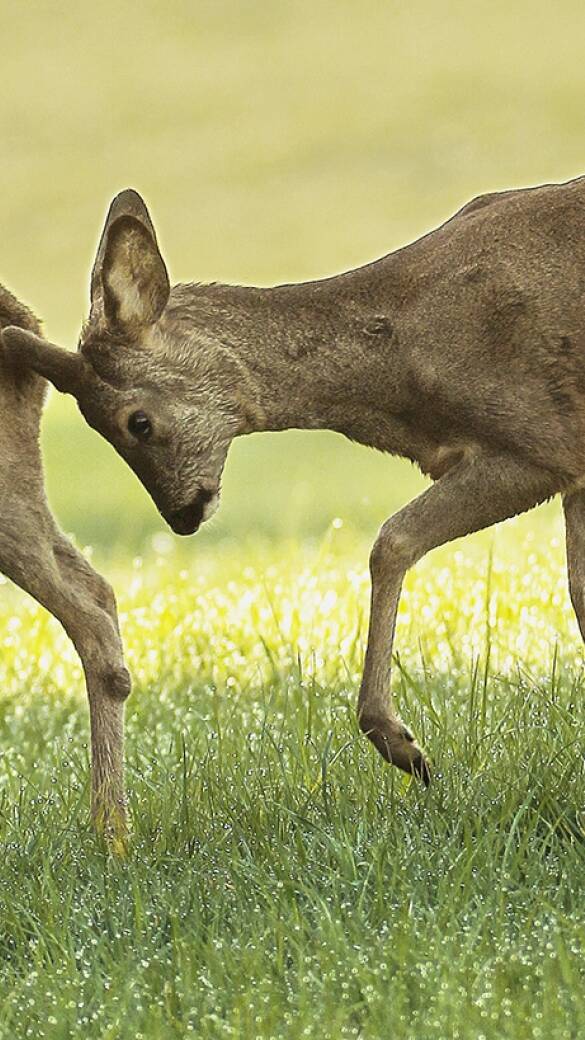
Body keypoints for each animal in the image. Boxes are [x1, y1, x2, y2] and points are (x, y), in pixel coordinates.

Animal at [6, 174, 582, 782]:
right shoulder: (573, 468)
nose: (182, 516)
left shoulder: (540, 441)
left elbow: (392, 541)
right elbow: (578, 589)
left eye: (136, 422)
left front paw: (402, 745)